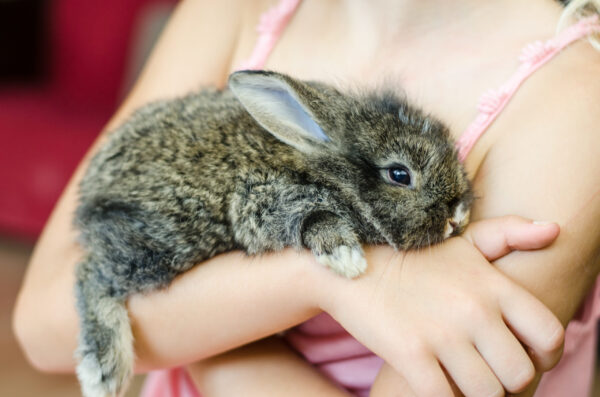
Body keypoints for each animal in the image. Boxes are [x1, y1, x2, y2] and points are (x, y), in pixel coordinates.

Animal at [72, 70, 474, 396]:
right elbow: (314, 218)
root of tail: (92, 184)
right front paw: (345, 258)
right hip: (165, 242)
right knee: (91, 274)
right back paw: (103, 371)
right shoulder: (264, 198)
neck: (325, 168)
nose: (458, 215)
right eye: (399, 174)